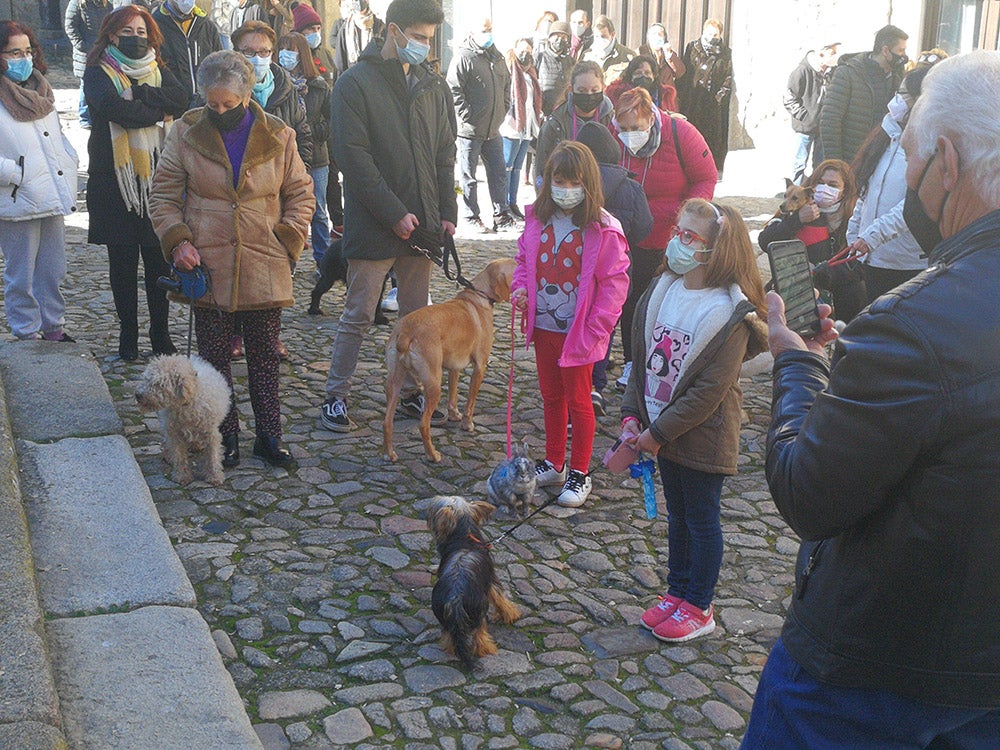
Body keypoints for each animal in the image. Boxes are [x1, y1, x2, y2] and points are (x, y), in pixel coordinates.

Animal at [382, 260, 516, 464]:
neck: (477, 296)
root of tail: (405, 332)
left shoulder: (454, 367)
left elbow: (453, 397)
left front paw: (454, 416)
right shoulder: (480, 367)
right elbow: (470, 404)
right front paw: (467, 424)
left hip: (395, 383)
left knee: (387, 422)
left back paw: (389, 454)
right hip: (433, 384)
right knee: (423, 425)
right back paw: (432, 455)